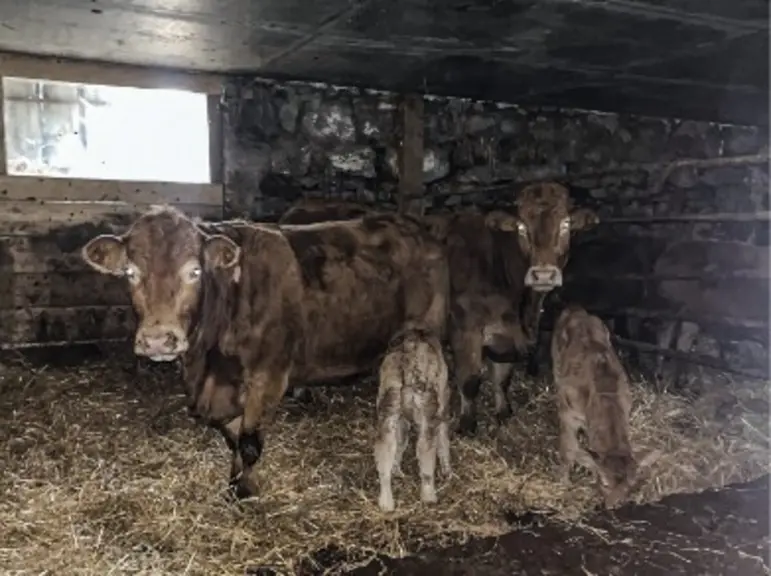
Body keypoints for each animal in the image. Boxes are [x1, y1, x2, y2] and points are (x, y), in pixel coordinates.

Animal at [280, 183, 599, 436]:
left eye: (566, 225)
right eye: (522, 228)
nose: (544, 274)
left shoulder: (503, 335)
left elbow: (503, 376)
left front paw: (503, 412)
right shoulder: (465, 328)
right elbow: (470, 380)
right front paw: (467, 425)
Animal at [374, 326, 452, 512]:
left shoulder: (401, 419)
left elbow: (401, 442)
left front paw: (396, 469)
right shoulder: (443, 404)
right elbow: (443, 438)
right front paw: (447, 470)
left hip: (388, 403)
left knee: (385, 448)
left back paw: (386, 502)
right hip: (427, 407)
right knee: (425, 448)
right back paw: (429, 495)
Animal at [551, 304, 660, 508]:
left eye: (628, 488)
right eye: (603, 482)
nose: (610, 507)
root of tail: (577, 308)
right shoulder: (567, 415)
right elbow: (568, 449)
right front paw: (563, 482)